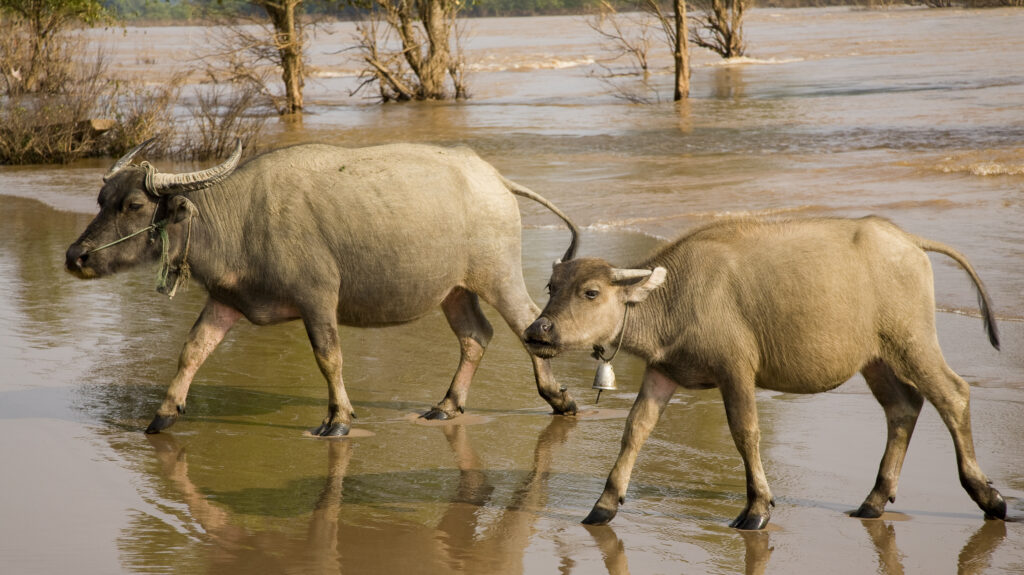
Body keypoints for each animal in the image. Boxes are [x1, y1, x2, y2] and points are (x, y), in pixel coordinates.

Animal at [66, 140, 579, 436]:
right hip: (454, 289)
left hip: (498, 274)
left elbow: (328, 357)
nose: (76, 256)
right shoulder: (224, 301)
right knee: (475, 335)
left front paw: (338, 419)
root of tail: (493, 179)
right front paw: (164, 414)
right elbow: (192, 351)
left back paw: (559, 399)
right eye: (101, 199)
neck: (241, 221)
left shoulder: (317, 299)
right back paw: (447, 406)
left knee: (527, 324)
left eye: (134, 204)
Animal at [525, 216, 1006, 529]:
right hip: (875, 358)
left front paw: (756, 508)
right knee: (903, 407)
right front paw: (603, 505)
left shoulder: (736, 369)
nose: (537, 330)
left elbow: (745, 431)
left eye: (590, 292)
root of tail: (908, 240)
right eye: (552, 287)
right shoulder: (662, 373)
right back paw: (873, 502)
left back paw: (989, 496)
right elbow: (635, 429)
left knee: (952, 394)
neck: (677, 296)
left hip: (913, 340)